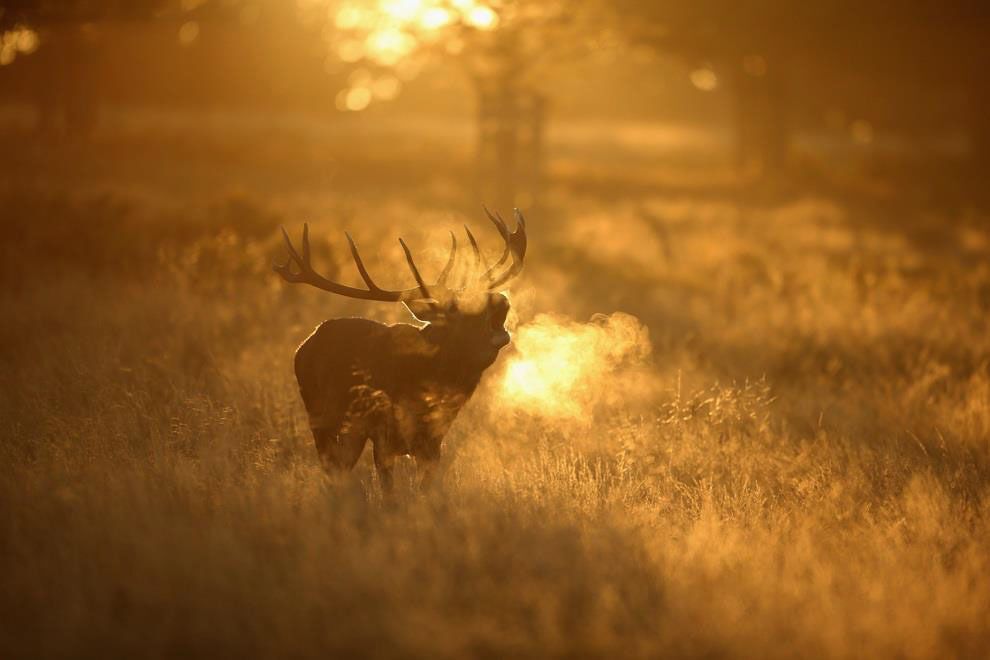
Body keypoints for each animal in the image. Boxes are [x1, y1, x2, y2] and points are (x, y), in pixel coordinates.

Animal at [276, 209, 532, 492]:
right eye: (455, 311)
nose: (501, 300)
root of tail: (306, 344)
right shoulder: (383, 434)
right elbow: (389, 492)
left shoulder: (433, 441)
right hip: (321, 415)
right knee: (332, 467)